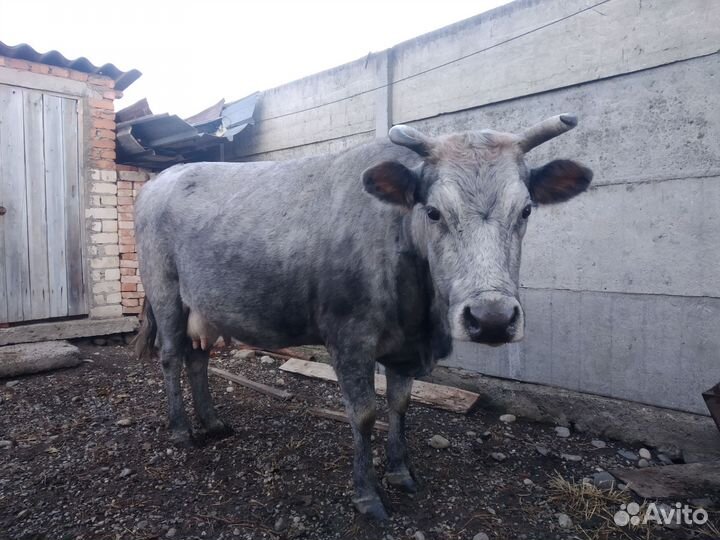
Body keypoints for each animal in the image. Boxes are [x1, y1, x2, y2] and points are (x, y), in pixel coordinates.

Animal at [134, 114, 592, 520]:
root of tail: (163, 177)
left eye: (526, 210)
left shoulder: (405, 347)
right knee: (171, 356)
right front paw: (367, 495)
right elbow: (364, 413)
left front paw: (401, 473)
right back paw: (181, 430)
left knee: (197, 357)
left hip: (203, 305)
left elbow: (400, 404)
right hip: (164, 291)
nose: (492, 318)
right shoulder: (349, 339)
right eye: (433, 212)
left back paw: (213, 422)